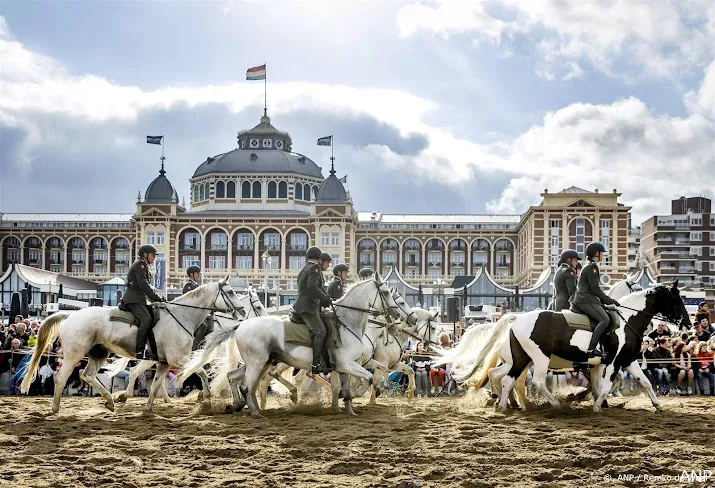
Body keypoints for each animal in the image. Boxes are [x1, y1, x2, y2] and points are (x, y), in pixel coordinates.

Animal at [21, 274, 241, 416]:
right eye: (230, 291)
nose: (240, 310)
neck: (182, 315)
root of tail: (70, 315)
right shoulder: (179, 358)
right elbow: (200, 370)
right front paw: (206, 396)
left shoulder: (164, 362)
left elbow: (156, 385)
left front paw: (148, 409)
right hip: (74, 355)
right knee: (61, 378)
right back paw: (56, 409)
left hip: (99, 353)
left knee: (88, 375)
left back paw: (111, 400)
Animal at [109, 290, 268, 404]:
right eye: (258, 306)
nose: (266, 318)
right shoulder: (217, 357)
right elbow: (220, 371)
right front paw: (217, 392)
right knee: (141, 374)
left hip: (153, 359)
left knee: (140, 373)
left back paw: (163, 399)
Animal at [182, 272, 406, 418]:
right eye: (387, 293)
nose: (396, 314)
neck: (347, 323)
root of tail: (241, 324)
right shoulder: (347, 364)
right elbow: (367, 379)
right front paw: (357, 397)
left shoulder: (344, 367)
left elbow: (350, 388)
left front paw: (349, 409)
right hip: (257, 363)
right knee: (246, 385)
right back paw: (255, 412)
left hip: (262, 362)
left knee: (234, 377)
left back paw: (238, 405)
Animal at [458, 282, 688, 412]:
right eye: (677, 300)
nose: (686, 322)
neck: (625, 320)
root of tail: (516, 319)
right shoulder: (612, 362)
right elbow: (606, 385)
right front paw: (596, 405)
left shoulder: (627, 360)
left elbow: (645, 382)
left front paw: (657, 405)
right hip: (538, 359)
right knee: (533, 381)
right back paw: (552, 405)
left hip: (521, 359)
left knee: (504, 378)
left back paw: (506, 405)